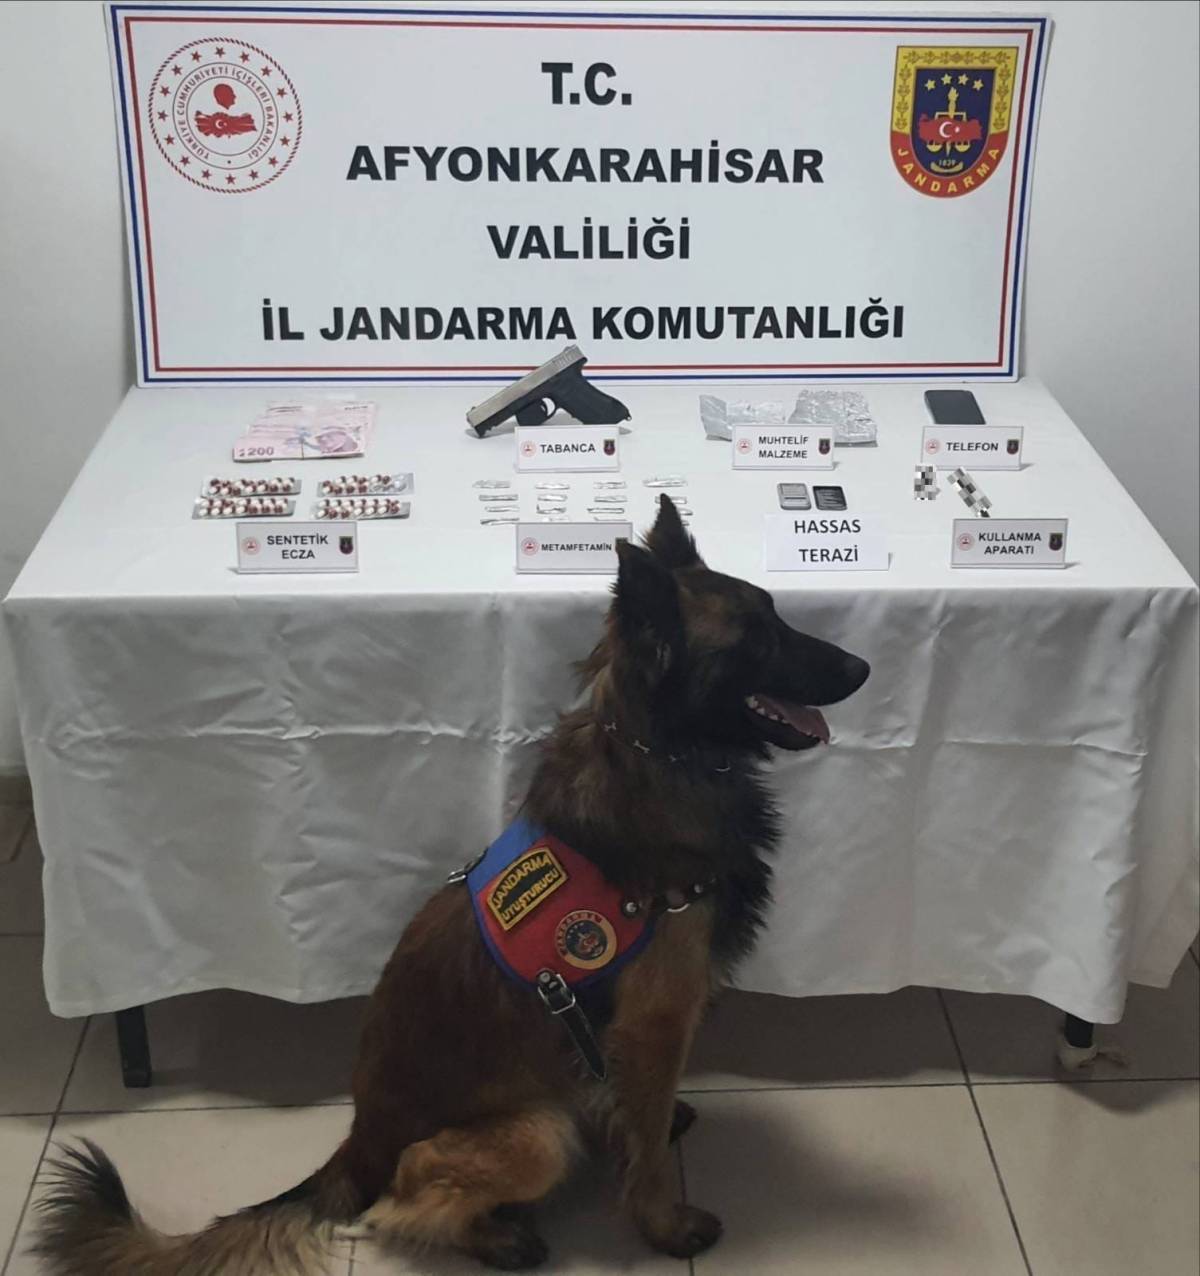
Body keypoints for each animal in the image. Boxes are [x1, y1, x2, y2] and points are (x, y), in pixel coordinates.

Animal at [33, 495, 869, 1274]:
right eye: (756, 637)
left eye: (777, 614)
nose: (861, 670)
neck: (657, 753)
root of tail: (359, 1145)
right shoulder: (657, 1020)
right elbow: (649, 1151)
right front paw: (665, 1225)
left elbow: (639, 1114)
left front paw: (650, 1130)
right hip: (536, 1132)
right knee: (402, 1204)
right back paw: (497, 1237)